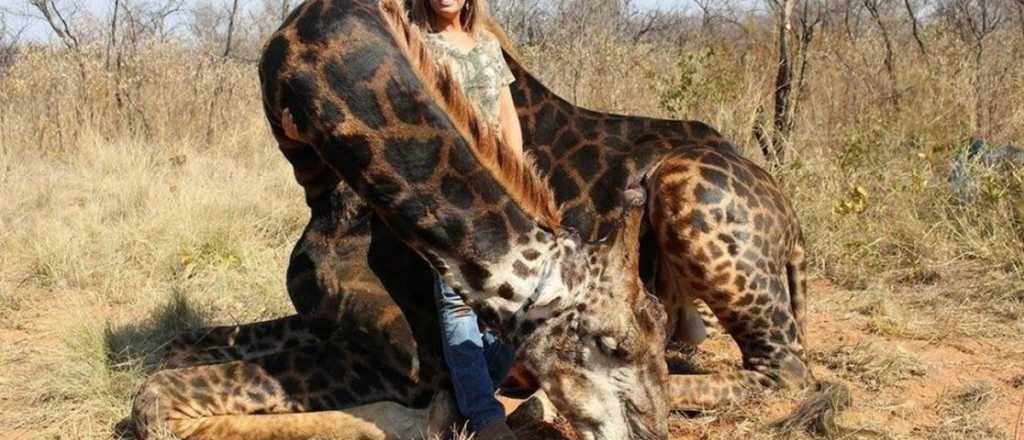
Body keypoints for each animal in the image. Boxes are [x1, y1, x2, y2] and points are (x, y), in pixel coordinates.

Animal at [132, 0, 667, 440]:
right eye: (612, 346)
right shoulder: (329, 329)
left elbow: (157, 394)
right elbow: (172, 355)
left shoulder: (402, 365)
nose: (652, 433)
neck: (337, 210)